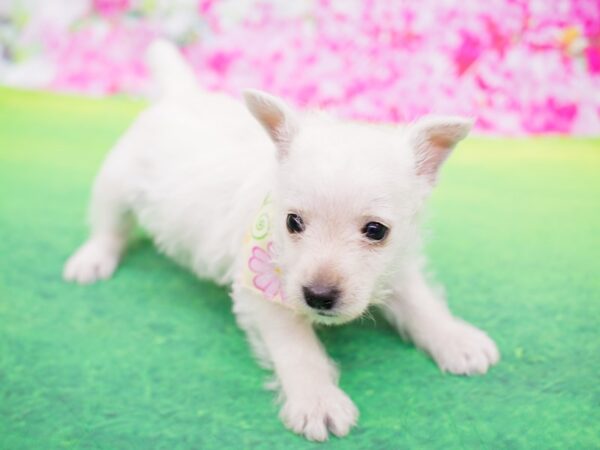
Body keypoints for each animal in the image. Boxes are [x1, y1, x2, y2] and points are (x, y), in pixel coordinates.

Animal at [63, 40, 500, 442]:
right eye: (293, 222)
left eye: (376, 230)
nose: (319, 296)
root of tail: (181, 94)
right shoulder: (265, 292)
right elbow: (298, 348)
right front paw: (318, 401)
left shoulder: (396, 264)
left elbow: (422, 302)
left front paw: (457, 338)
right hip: (116, 180)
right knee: (108, 224)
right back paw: (92, 260)